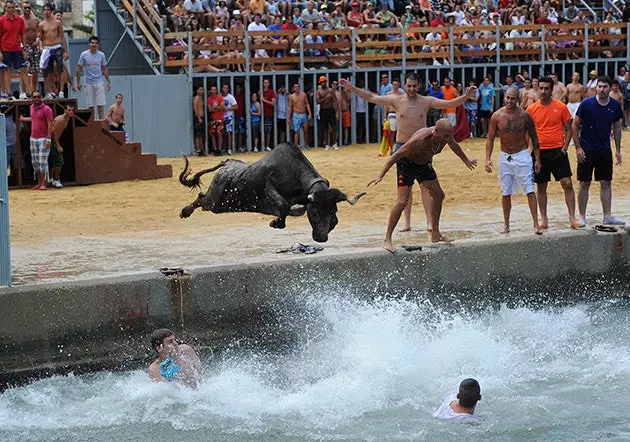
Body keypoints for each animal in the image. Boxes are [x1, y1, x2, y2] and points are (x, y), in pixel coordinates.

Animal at [178, 142, 368, 242]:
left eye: (333, 210)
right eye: (315, 212)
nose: (321, 238)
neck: (295, 172)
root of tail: (227, 163)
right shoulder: (270, 189)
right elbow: (283, 206)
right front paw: (275, 223)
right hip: (216, 203)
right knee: (201, 198)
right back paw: (184, 212)